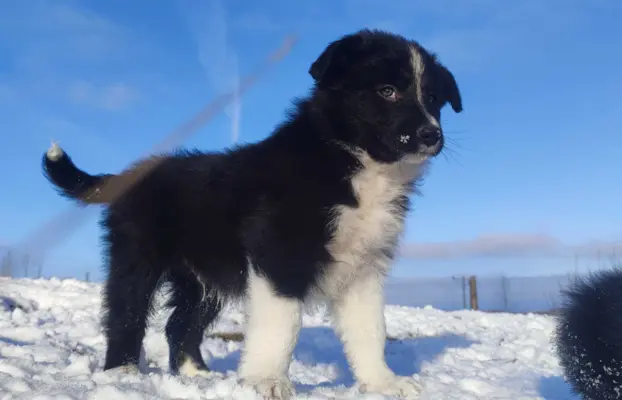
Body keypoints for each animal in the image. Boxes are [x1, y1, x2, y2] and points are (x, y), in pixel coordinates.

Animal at [41, 29, 464, 398]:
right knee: (125, 312)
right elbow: (283, 322)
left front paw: (382, 383)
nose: (431, 135)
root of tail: (128, 175)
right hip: (137, 257)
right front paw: (266, 382)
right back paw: (123, 373)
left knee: (181, 324)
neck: (349, 159)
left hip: (200, 278)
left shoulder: (364, 265)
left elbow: (370, 327)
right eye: (387, 91)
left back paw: (197, 375)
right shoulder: (280, 253)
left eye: (433, 98)